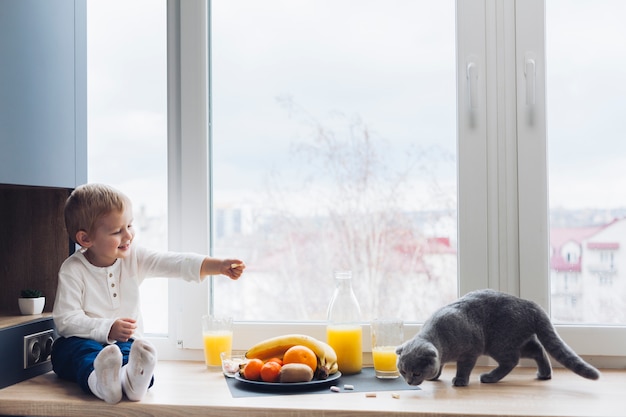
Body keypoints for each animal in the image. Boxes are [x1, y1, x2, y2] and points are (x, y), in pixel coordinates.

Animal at [394, 288, 600, 386]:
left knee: (512, 361)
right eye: (403, 371)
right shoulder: (443, 357)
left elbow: (464, 368)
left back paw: (490, 377)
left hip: (499, 344)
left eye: (416, 373)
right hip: (516, 341)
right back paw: (544, 374)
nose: (409, 382)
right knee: (538, 349)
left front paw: (460, 381)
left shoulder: (470, 352)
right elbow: (440, 366)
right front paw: (435, 376)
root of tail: (529, 303)